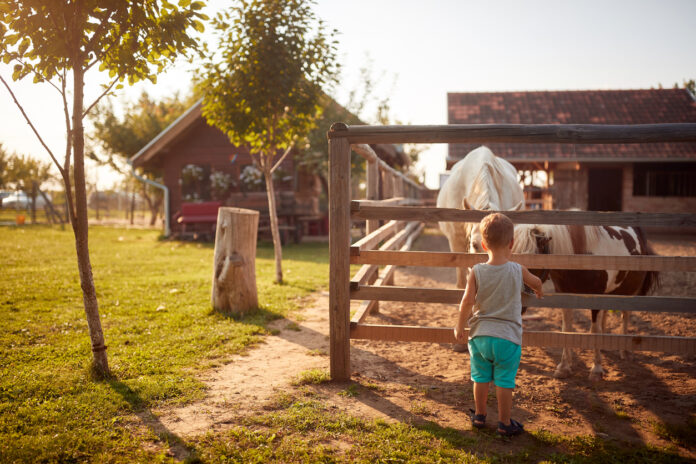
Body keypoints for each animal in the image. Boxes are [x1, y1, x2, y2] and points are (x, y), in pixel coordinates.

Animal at [508, 224, 660, 380]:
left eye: (533, 265)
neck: (581, 258)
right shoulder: (566, 297)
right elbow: (567, 329)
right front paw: (564, 366)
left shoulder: (595, 298)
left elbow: (594, 331)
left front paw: (597, 369)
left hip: (629, 291)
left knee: (625, 315)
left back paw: (625, 352)